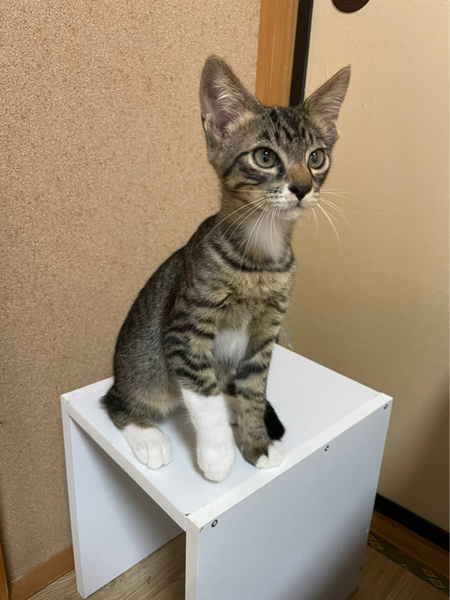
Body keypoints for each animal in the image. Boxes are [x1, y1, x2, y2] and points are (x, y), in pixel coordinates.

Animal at [102, 56, 350, 483]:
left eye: (316, 157)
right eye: (265, 157)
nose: (302, 188)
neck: (259, 262)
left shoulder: (266, 332)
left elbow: (255, 389)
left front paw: (256, 444)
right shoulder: (185, 327)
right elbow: (202, 396)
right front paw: (217, 455)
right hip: (146, 366)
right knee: (118, 399)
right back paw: (150, 438)